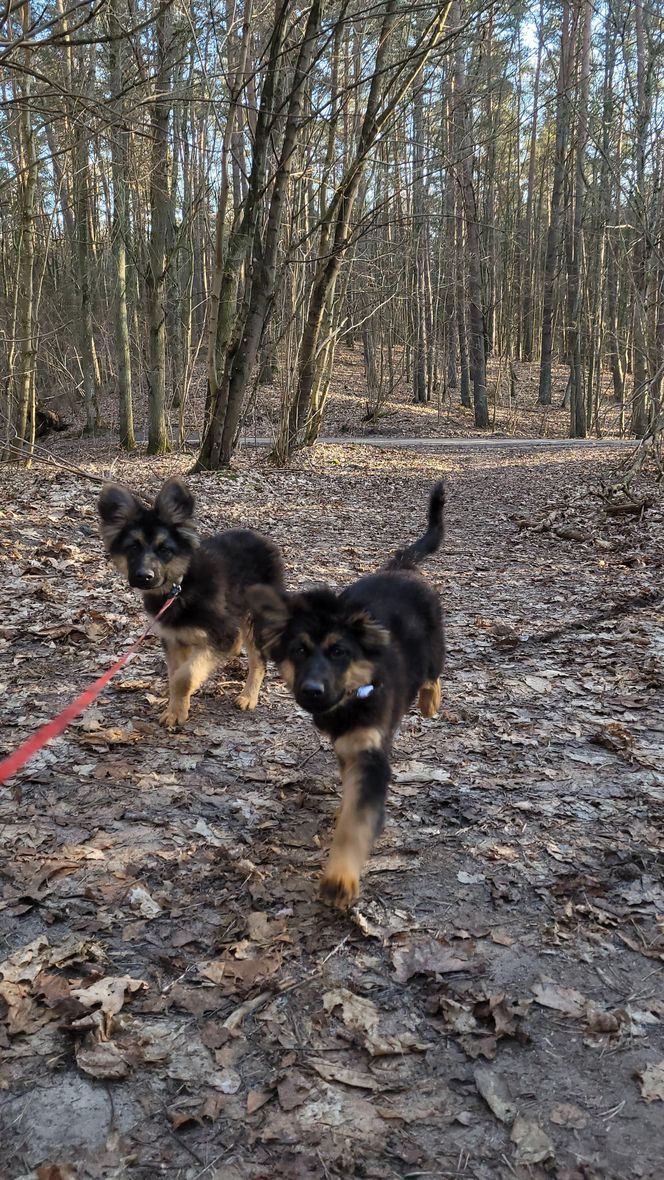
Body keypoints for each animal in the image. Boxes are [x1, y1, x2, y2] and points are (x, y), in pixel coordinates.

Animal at [97, 479, 284, 726]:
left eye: (164, 549)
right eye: (133, 547)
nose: (144, 576)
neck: (180, 587)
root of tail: (262, 539)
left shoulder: (218, 634)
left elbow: (184, 676)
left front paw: (178, 706)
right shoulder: (175, 638)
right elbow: (176, 674)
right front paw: (177, 708)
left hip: (257, 619)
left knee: (258, 659)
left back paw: (248, 696)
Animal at [250, 479, 445, 910]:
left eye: (339, 652)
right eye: (299, 651)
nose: (311, 690)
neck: (353, 696)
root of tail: (400, 567)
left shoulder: (370, 754)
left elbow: (356, 821)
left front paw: (340, 877)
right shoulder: (348, 747)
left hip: (435, 649)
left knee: (433, 675)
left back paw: (429, 701)